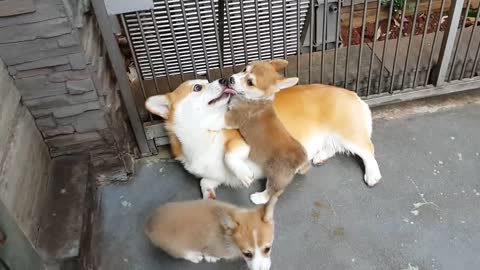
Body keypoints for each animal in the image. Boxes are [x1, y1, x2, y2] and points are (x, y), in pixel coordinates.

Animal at [144, 59, 380, 202]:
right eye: (198, 87)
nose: (224, 79)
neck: (200, 139)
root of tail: (353, 94)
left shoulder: (239, 141)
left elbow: (230, 154)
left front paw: (244, 175)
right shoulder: (214, 174)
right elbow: (204, 181)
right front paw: (208, 195)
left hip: (348, 135)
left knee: (367, 150)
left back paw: (372, 174)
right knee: (333, 147)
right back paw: (320, 156)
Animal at [144, 196, 276, 270]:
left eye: (267, 249)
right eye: (247, 254)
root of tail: (149, 223)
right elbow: (212, 254)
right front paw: (210, 258)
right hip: (171, 246)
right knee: (180, 253)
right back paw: (193, 255)